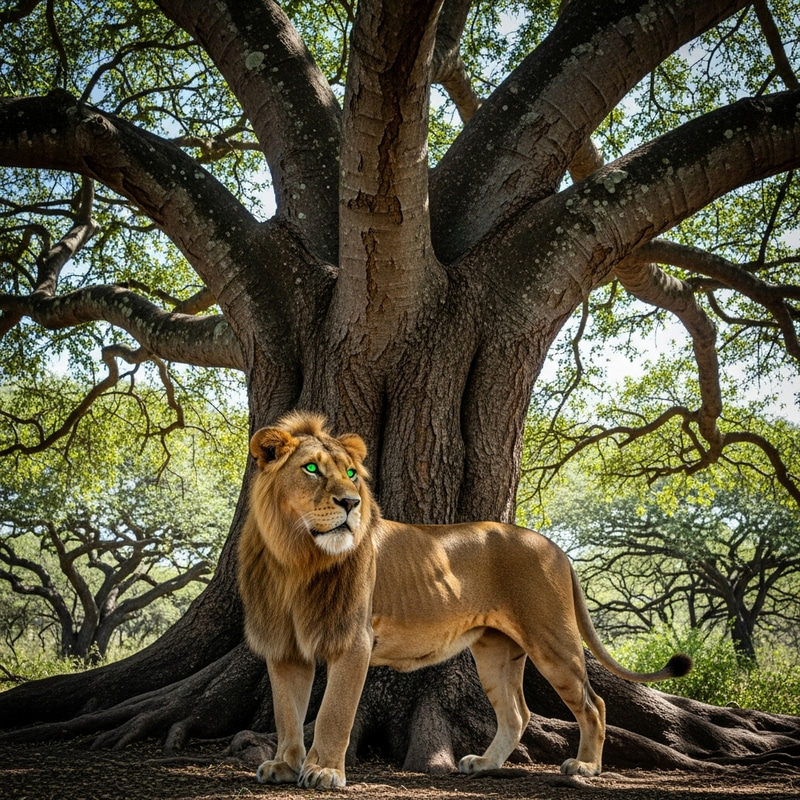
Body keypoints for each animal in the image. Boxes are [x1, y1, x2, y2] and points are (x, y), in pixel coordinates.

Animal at [238, 411, 691, 789]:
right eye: (312, 469)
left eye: (351, 473)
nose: (352, 503)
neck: (296, 559)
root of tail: (555, 546)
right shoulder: (284, 649)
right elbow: (287, 714)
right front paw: (285, 765)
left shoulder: (354, 641)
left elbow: (333, 713)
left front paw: (325, 771)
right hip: (495, 650)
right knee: (517, 713)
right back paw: (486, 763)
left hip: (552, 638)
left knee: (593, 703)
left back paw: (586, 767)